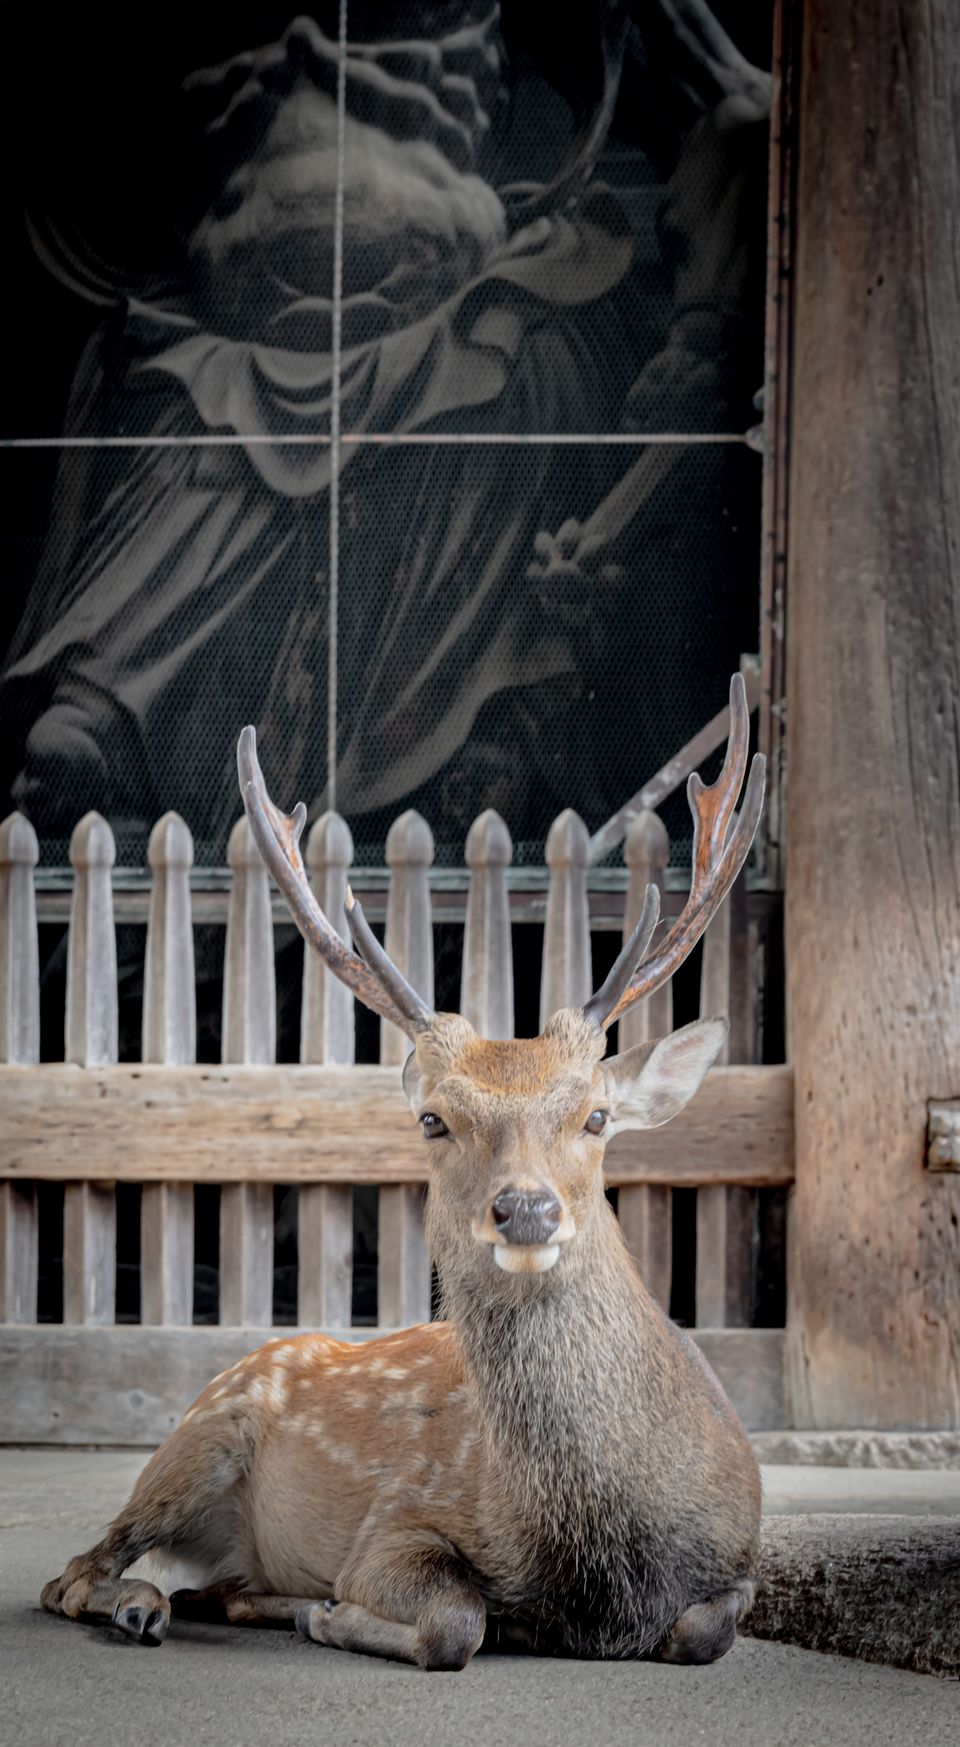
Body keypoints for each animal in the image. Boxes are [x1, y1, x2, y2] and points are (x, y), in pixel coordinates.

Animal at [41, 674, 765, 1671]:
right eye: (435, 1119)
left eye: (596, 1114)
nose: (526, 1210)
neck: (604, 1558)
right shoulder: (394, 1524)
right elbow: (457, 1621)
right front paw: (337, 1613)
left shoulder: (742, 1556)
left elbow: (704, 1626)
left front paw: (314, 1610)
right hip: (196, 1434)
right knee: (72, 1572)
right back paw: (148, 1605)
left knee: (200, 1582)